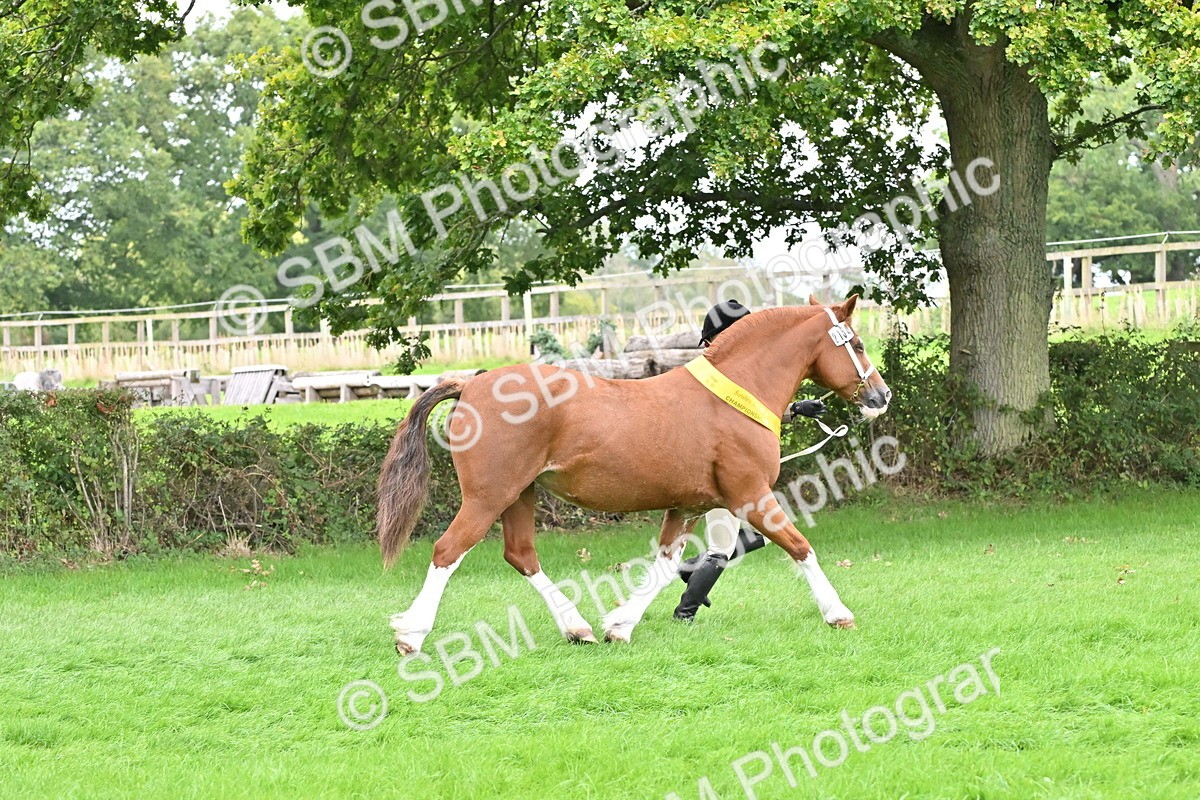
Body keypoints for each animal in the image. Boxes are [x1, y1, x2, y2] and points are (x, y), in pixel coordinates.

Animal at [377, 295, 891, 653]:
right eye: (858, 344)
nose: (880, 396)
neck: (734, 395)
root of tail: (472, 383)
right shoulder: (750, 495)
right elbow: (801, 547)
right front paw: (838, 613)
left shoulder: (689, 506)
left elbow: (665, 566)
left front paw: (620, 625)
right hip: (488, 496)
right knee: (448, 551)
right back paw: (411, 635)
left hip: (518, 495)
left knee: (521, 556)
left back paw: (577, 627)